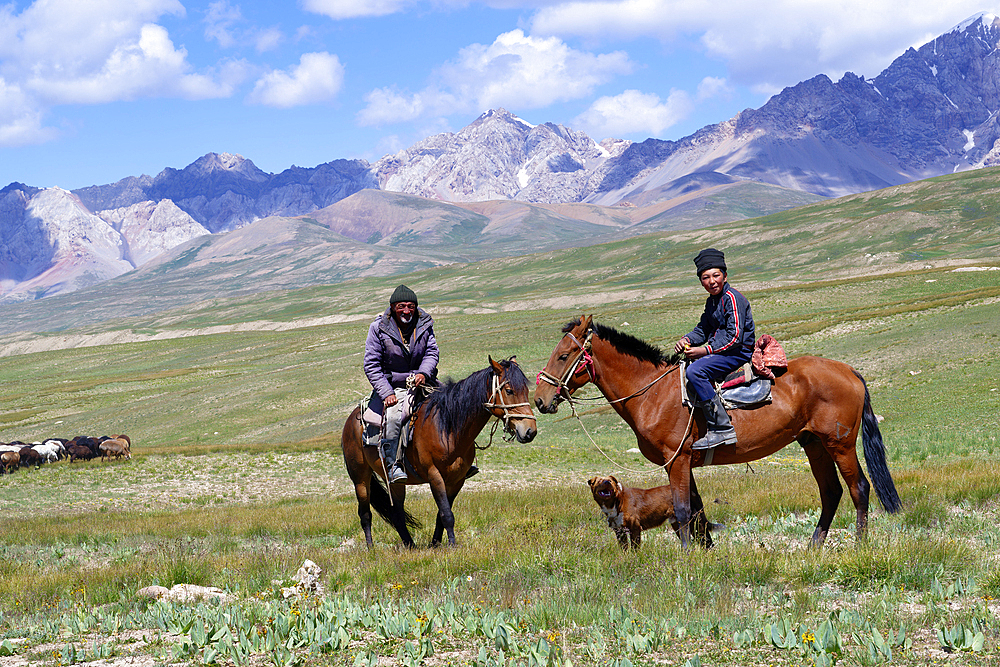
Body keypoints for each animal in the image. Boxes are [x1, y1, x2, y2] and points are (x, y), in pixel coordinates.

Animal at [342, 358, 536, 552]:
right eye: (509, 390)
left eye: (526, 391)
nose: (530, 431)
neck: (448, 428)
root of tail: (352, 419)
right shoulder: (434, 475)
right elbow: (447, 514)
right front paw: (452, 546)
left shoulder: (457, 480)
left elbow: (442, 514)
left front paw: (435, 543)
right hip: (360, 478)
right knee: (365, 514)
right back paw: (371, 549)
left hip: (395, 483)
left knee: (397, 513)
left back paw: (410, 545)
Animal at [536, 318, 904, 548]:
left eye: (564, 355)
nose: (540, 400)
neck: (652, 393)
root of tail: (849, 371)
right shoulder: (685, 463)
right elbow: (697, 510)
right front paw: (707, 552)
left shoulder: (676, 460)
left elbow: (683, 510)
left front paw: (688, 557)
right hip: (813, 444)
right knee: (831, 492)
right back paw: (813, 546)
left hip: (839, 443)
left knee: (858, 488)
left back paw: (859, 544)